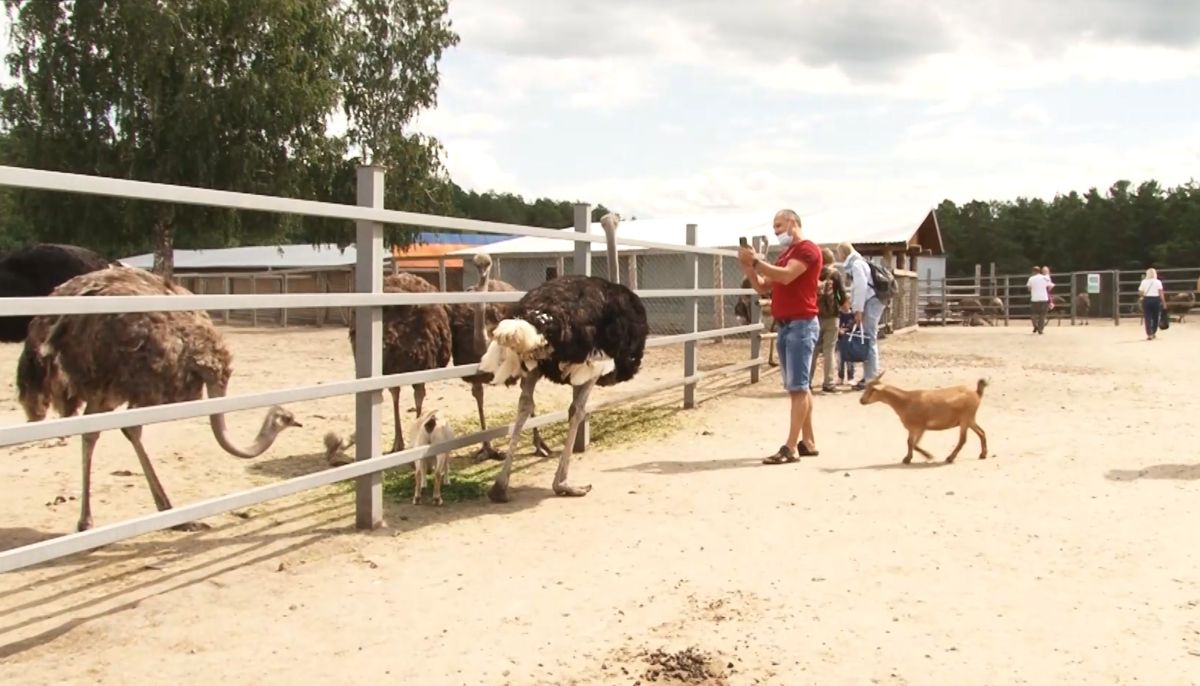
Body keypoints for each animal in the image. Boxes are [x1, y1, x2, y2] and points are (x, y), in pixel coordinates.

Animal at [859, 369, 988, 465]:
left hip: (965, 418)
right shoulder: (912, 428)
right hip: (970, 419)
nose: (861, 400)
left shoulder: (921, 427)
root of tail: (977, 393)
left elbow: (914, 444)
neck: (906, 401)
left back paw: (950, 458)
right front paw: (907, 458)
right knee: (981, 432)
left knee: (963, 439)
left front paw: (929, 456)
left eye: (873, 390)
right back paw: (983, 454)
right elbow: (909, 442)